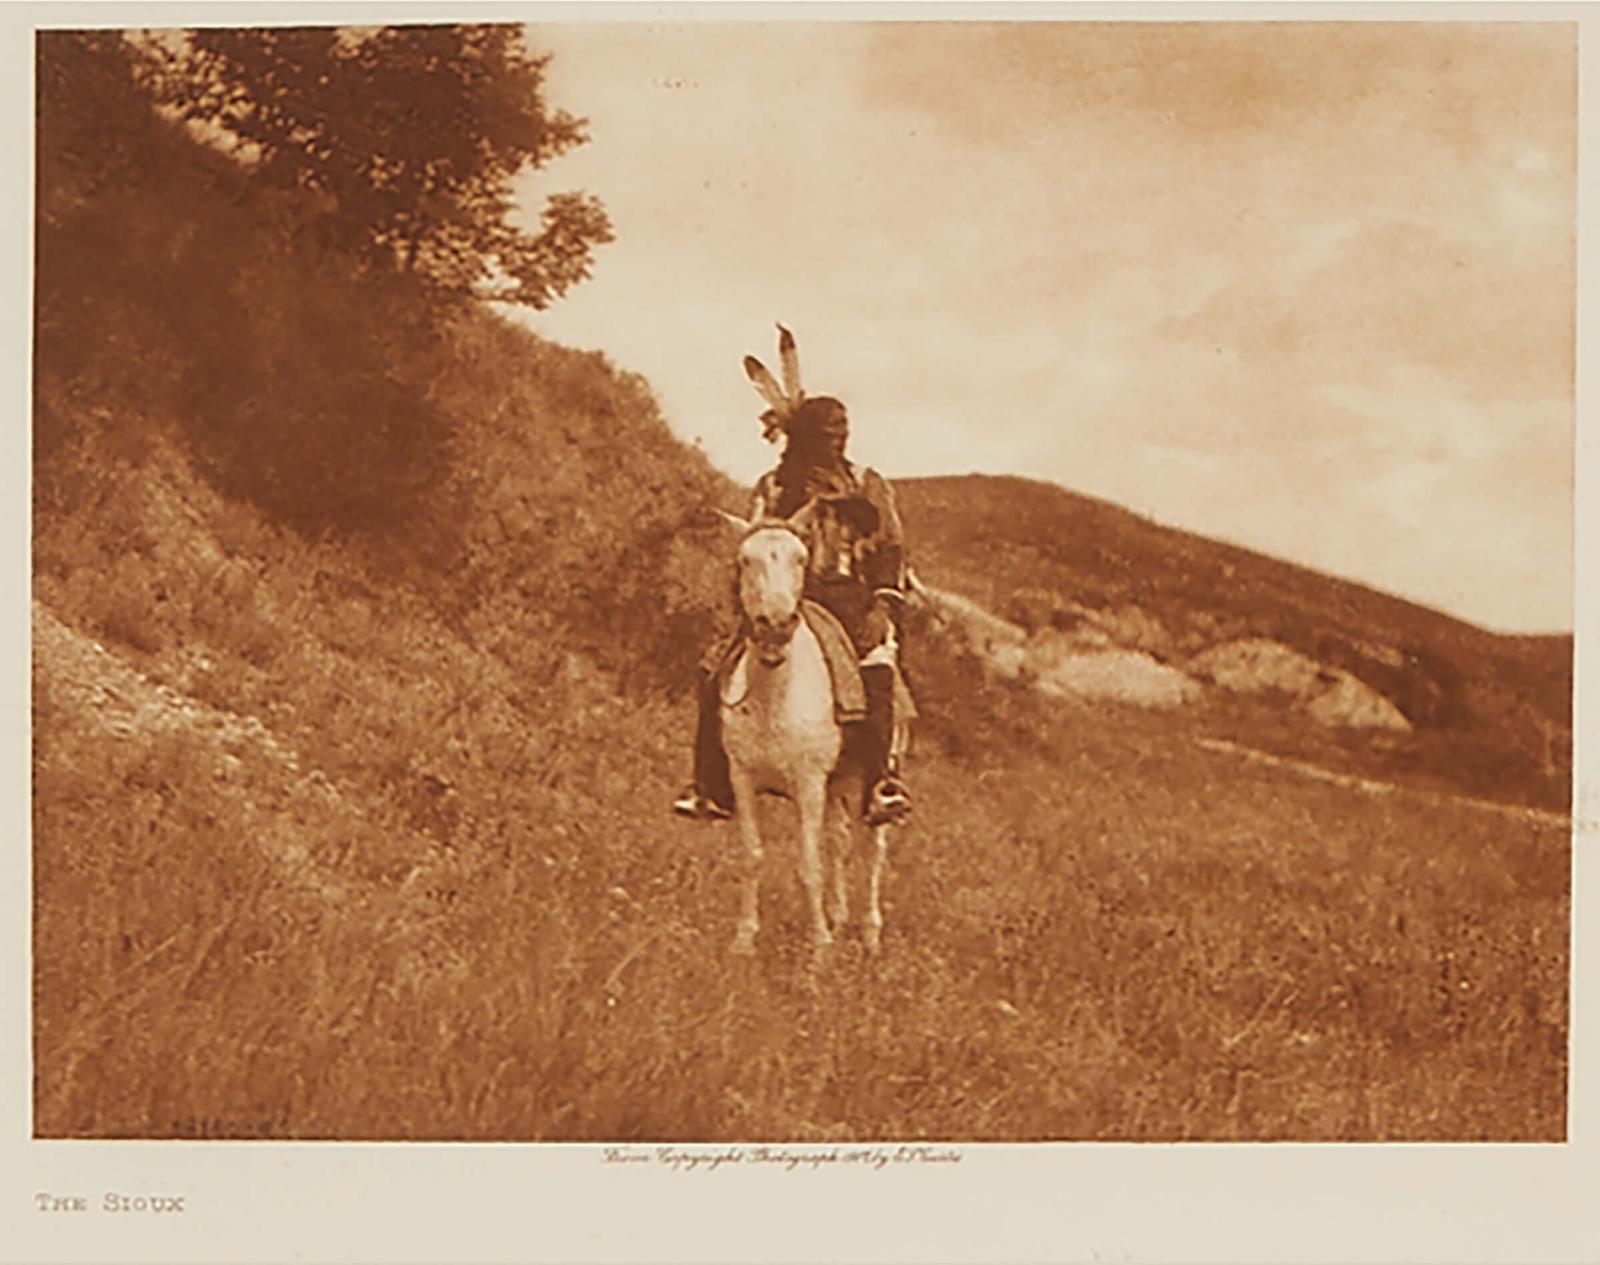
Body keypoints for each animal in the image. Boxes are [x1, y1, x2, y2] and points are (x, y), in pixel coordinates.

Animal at [720, 505, 908, 959]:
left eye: (800, 559)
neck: (774, 701)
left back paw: (869, 934)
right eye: (745, 559)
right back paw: (839, 917)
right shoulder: (743, 779)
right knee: (840, 841)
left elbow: (809, 864)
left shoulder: (808, 785)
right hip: (842, 780)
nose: (775, 625)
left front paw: (819, 948)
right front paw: (744, 939)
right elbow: (752, 855)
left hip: (870, 784)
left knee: (872, 852)